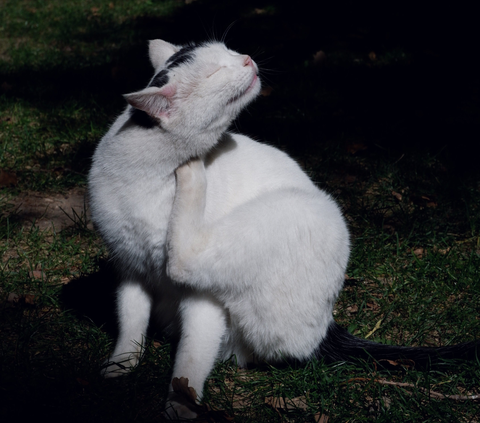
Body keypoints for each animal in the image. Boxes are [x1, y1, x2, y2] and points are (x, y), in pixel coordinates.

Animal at [88, 40, 478, 420]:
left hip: (291, 214)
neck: (148, 175)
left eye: (227, 50)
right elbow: (131, 322)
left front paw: (182, 404)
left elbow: (191, 359)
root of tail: (326, 327)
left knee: (184, 258)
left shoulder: (202, 302)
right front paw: (121, 365)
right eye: (215, 70)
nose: (246, 57)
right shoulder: (131, 270)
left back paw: (192, 171)